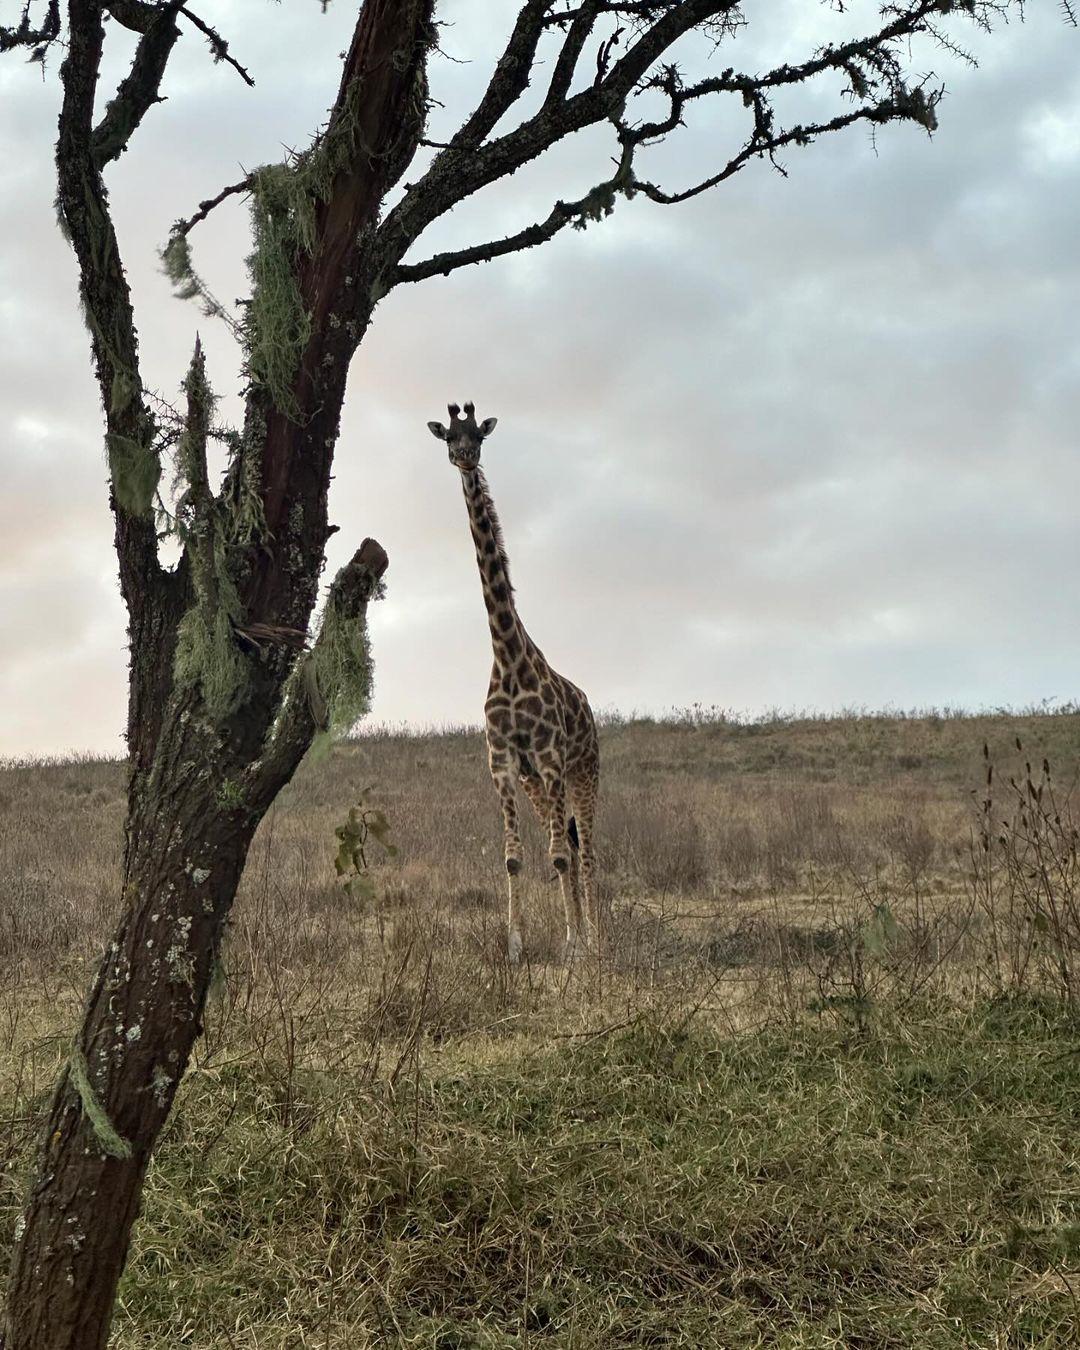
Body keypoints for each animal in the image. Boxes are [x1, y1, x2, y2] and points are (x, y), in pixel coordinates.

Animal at [427, 402, 600, 963]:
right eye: (448, 435)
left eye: (477, 435)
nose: (463, 456)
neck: (506, 657)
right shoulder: (505, 766)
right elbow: (516, 858)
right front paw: (516, 948)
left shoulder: (548, 760)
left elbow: (561, 858)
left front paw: (574, 947)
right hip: (539, 786)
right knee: (566, 846)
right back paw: (582, 934)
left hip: (583, 774)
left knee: (586, 853)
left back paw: (599, 941)